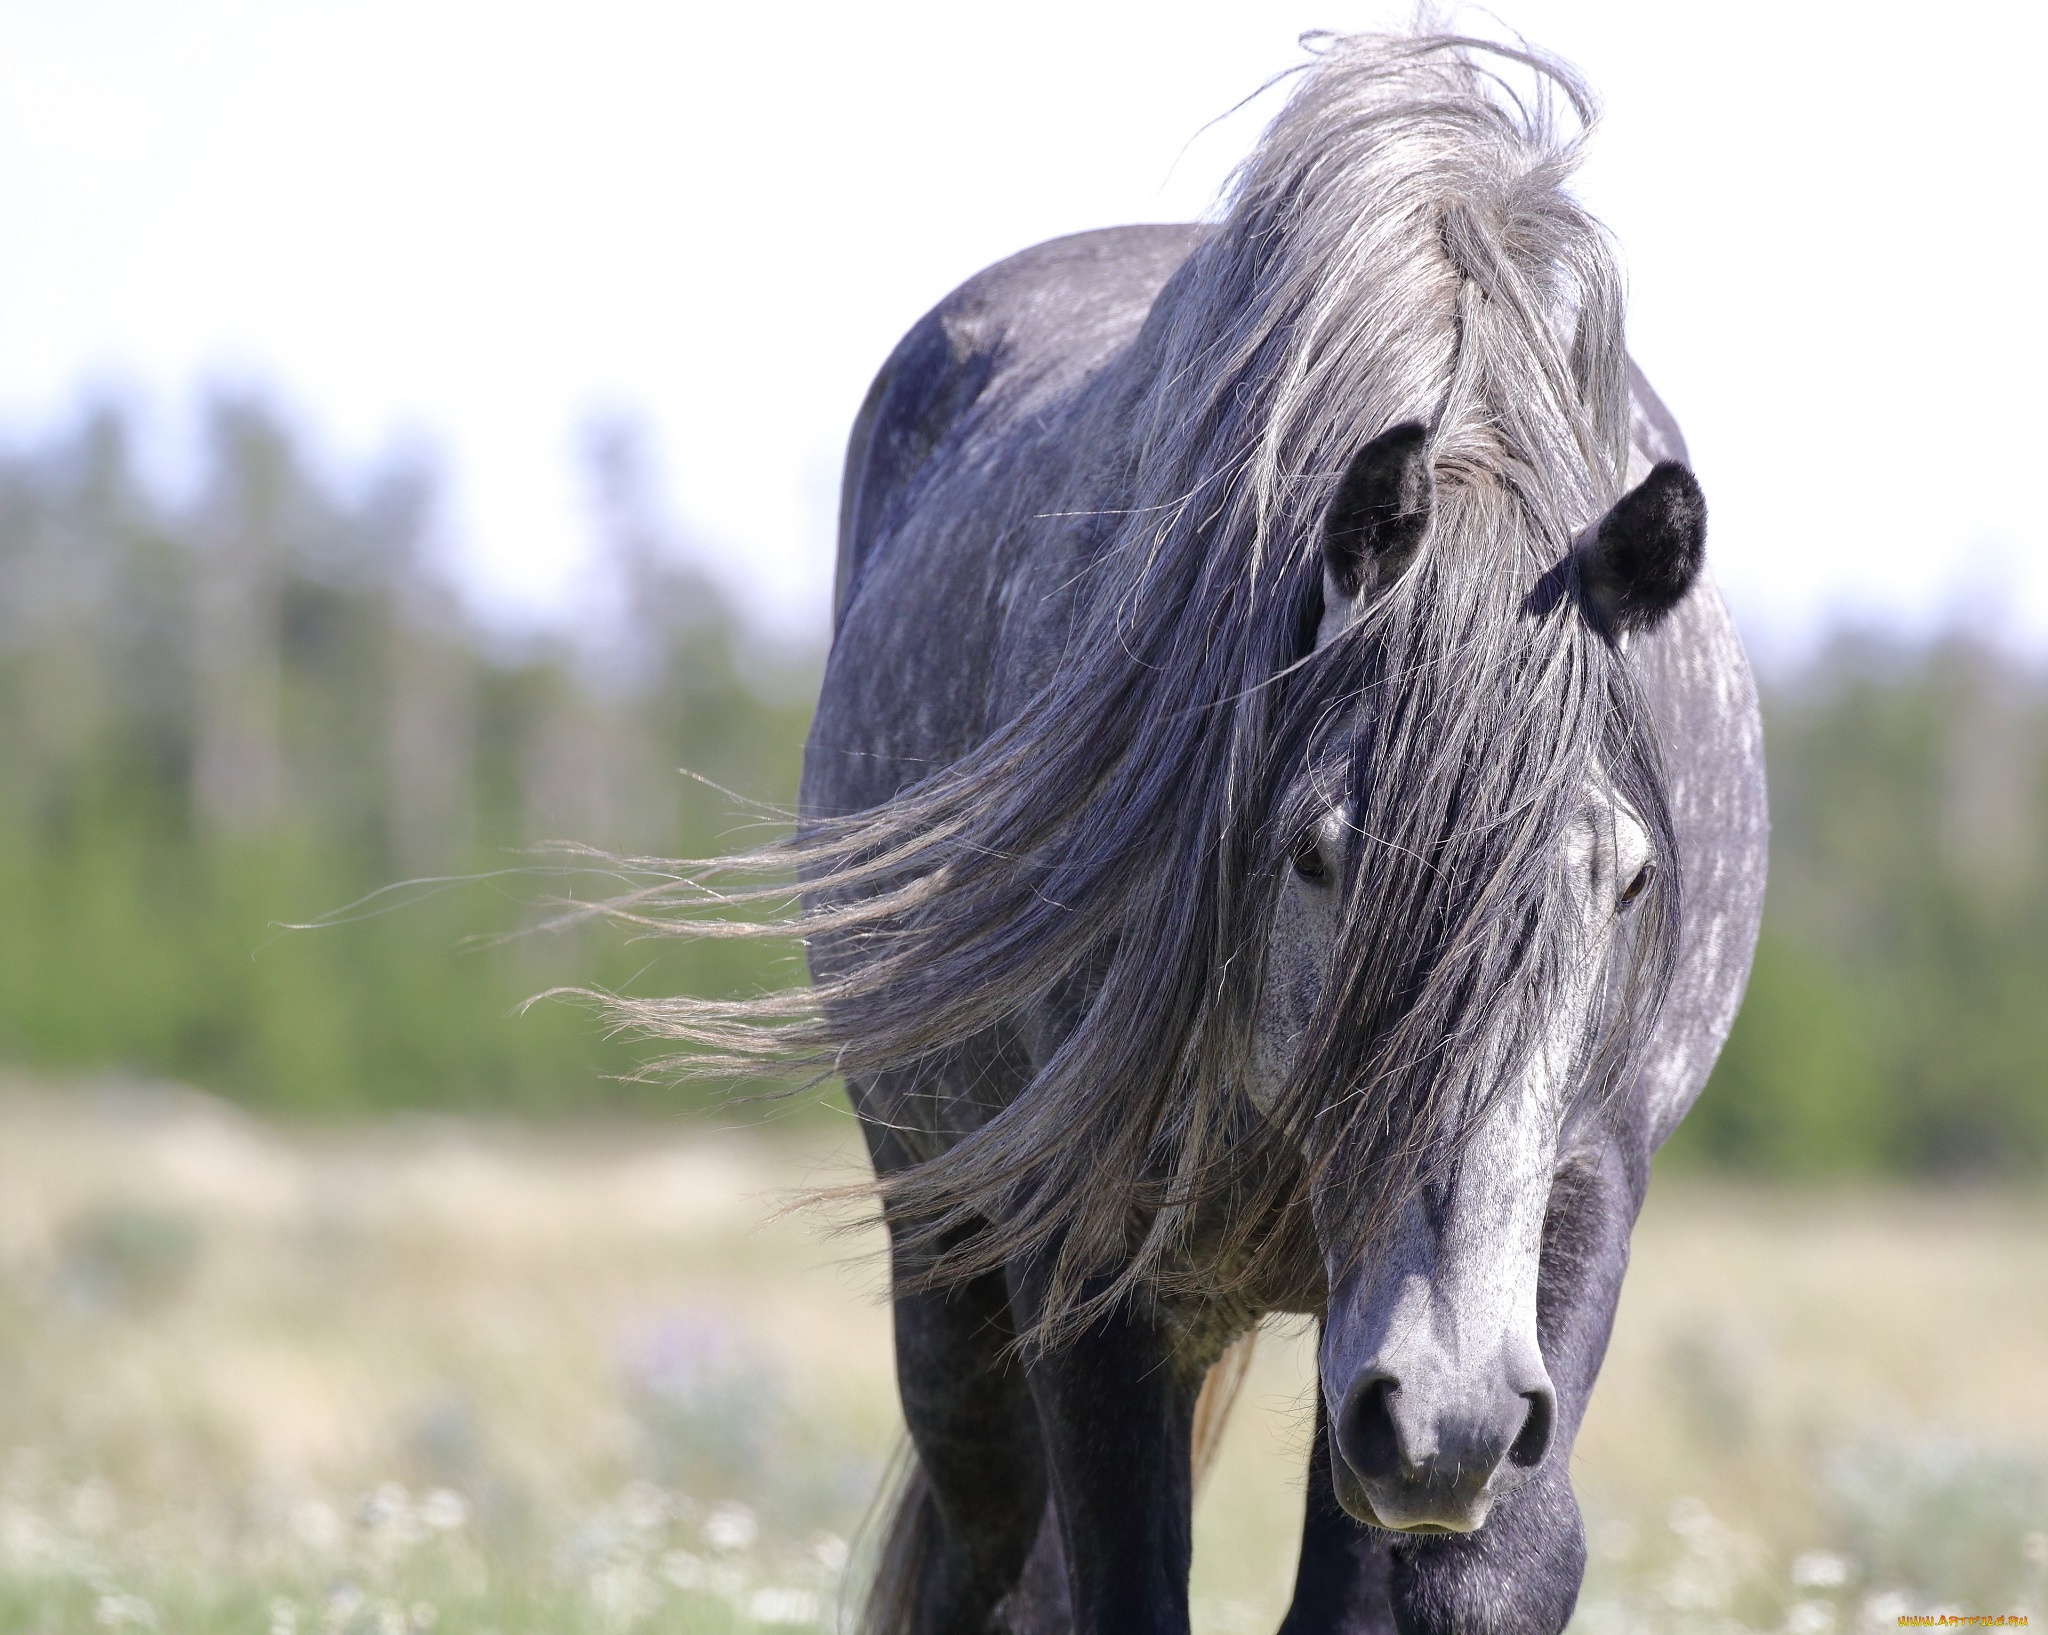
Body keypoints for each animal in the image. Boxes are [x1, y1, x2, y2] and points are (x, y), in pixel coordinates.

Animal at [614, 28, 1769, 1635]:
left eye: (1629, 876)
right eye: (1318, 851)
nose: (1454, 1416)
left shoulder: (1575, 1194)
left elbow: (1487, 1567)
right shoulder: (1090, 1270)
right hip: (959, 1279)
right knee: (986, 1547)